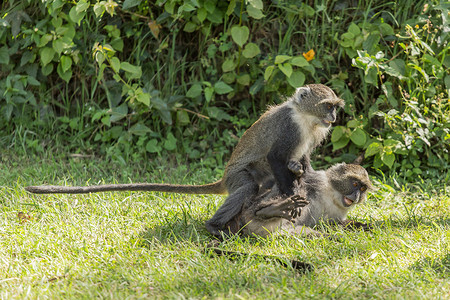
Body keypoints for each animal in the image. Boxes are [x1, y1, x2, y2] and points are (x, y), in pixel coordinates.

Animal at [25, 84, 344, 237]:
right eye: (327, 105)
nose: (333, 117)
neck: (306, 118)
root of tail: (224, 178)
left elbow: (302, 160)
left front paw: (302, 178)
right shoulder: (289, 128)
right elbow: (276, 157)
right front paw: (291, 197)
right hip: (238, 176)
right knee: (246, 186)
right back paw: (214, 226)